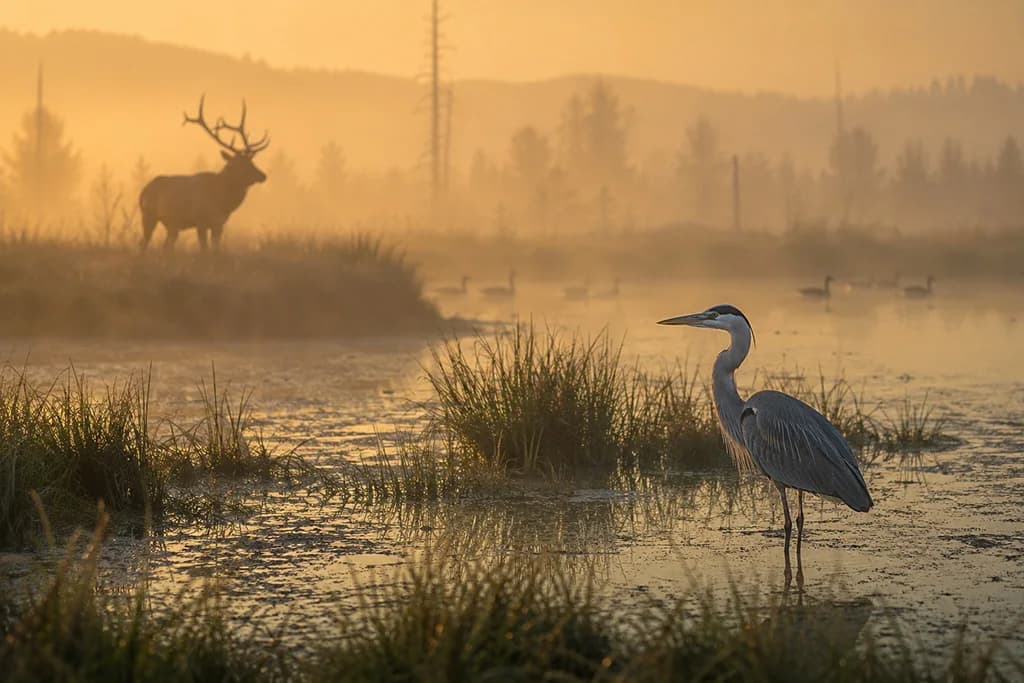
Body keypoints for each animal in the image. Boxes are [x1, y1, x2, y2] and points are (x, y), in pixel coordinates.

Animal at [140, 95, 270, 251]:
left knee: (166, 247)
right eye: (240, 164)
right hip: (148, 216)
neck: (222, 202)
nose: (263, 175)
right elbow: (204, 250)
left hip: (172, 225)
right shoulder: (201, 221)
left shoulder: (219, 224)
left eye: (252, 161)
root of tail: (142, 192)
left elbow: (215, 250)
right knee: (143, 244)